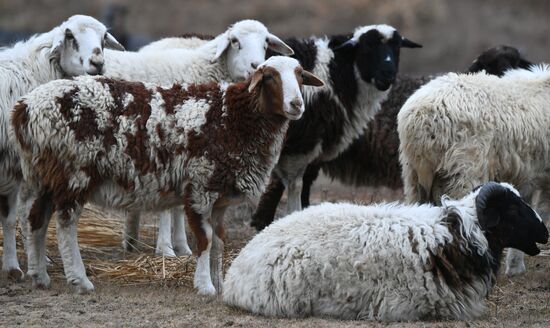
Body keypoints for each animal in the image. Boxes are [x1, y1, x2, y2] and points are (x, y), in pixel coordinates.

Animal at [0, 14, 123, 280]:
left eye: (103, 38)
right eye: (70, 36)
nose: (97, 62)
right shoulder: (15, 165)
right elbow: (14, 216)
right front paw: (15, 266)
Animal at [10, 56, 326, 294]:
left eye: (300, 75)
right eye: (270, 77)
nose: (297, 105)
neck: (235, 118)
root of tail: (25, 108)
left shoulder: (220, 197)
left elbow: (220, 241)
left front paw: (220, 284)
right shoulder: (200, 187)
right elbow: (205, 240)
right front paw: (205, 286)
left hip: (49, 173)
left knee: (36, 219)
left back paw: (39, 276)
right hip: (75, 171)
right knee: (65, 224)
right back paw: (79, 279)